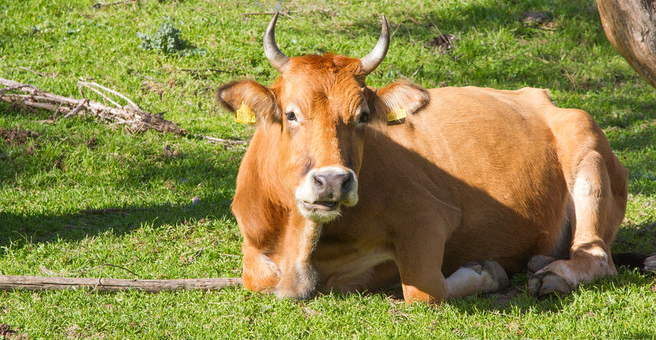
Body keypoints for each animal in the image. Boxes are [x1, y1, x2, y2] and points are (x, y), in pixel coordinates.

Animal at [218, 13, 632, 306]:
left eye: (362, 117)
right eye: (290, 114)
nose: (333, 180)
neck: (300, 245)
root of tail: (542, 97)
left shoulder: (427, 216)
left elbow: (425, 291)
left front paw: (486, 272)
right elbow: (259, 280)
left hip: (586, 145)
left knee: (597, 255)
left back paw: (553, 274)